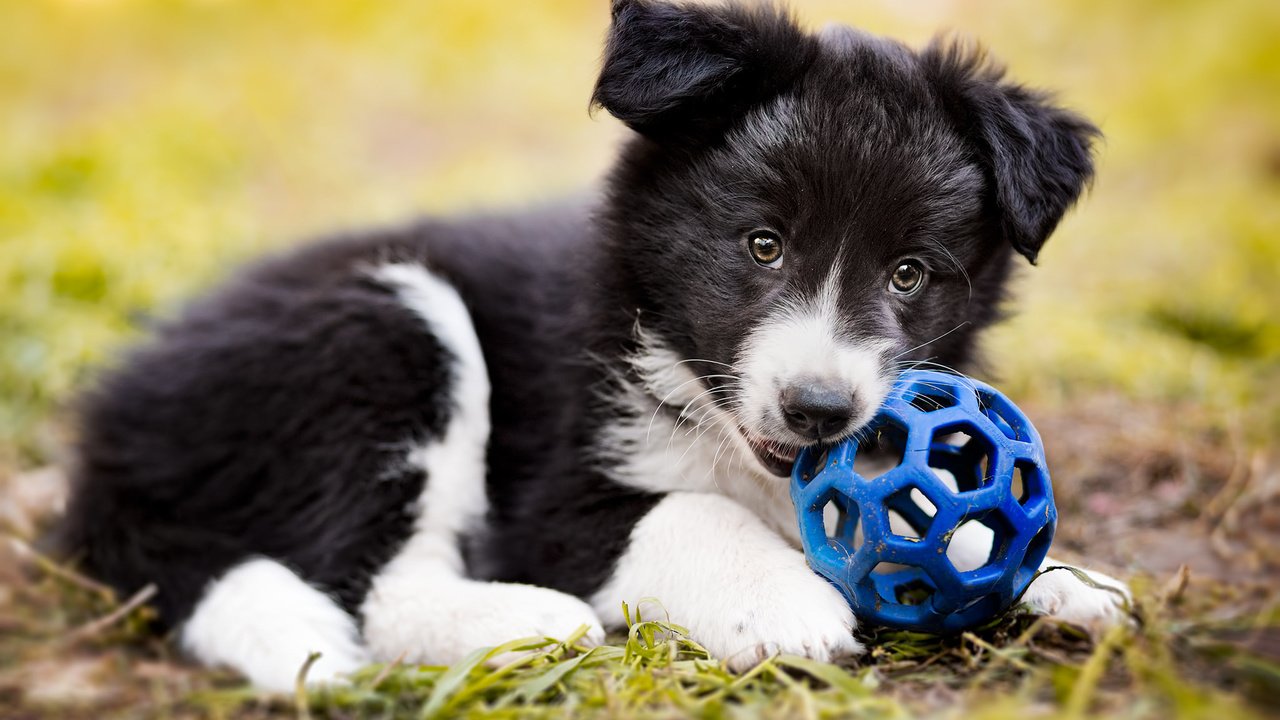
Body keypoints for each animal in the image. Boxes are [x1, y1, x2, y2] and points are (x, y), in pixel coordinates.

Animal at [60, 0, 1126, 691]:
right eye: (763, 245)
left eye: (909, 273)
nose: (819, 411)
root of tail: (110, 429)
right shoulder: (553, 494)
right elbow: (689, 511)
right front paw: (782, 604)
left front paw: (1058, 578)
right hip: (383, 332)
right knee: (371, 586)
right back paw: (527, 624)